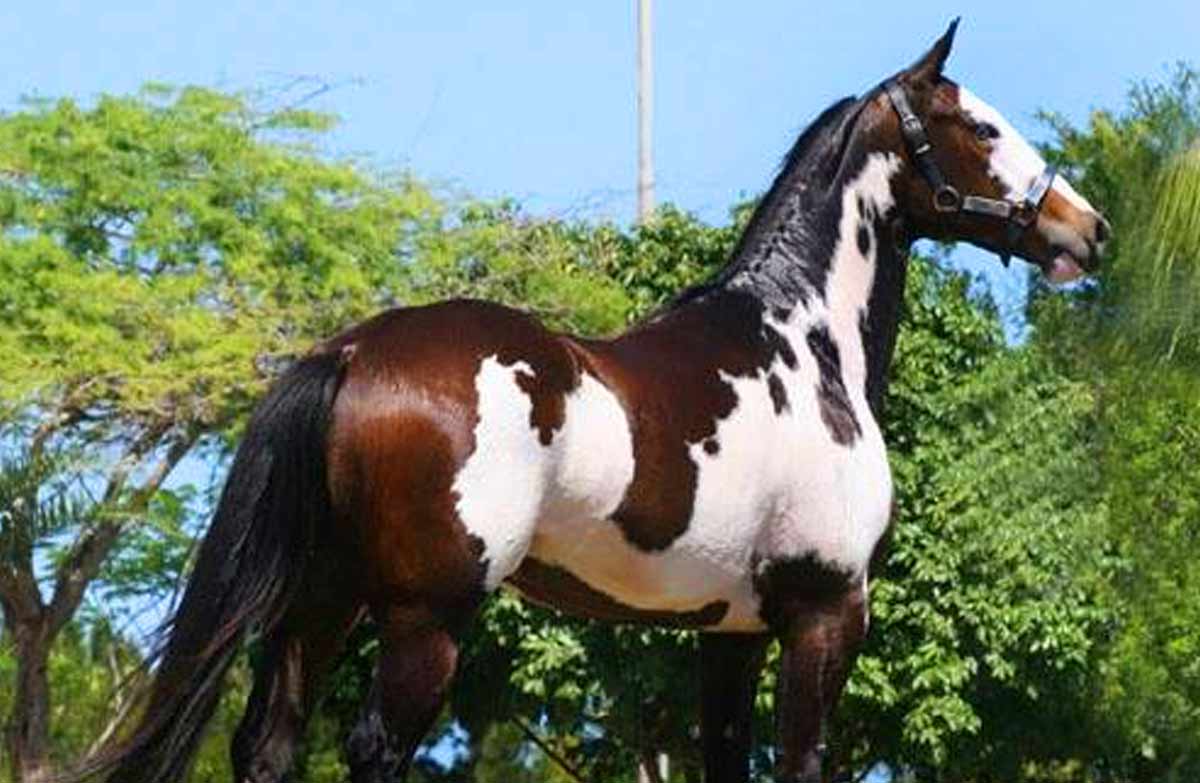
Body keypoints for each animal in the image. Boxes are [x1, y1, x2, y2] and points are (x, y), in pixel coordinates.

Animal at [81, 20, 1109, 783]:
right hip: (424, 618)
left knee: (271, 744)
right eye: (980, 128)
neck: (802, 339)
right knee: (374, 749)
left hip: (324, 601)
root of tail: (353, 350)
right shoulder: (824, 614)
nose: (1086, 229)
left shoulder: (730, 633)